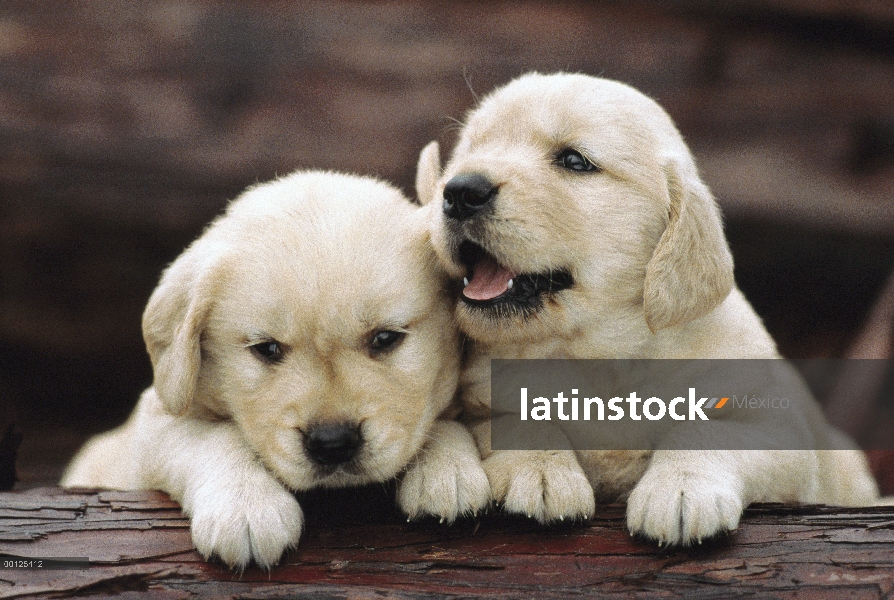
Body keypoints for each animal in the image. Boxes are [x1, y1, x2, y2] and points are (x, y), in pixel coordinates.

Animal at [62, 170, 490, 568]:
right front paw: (246, 506)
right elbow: (212, 437)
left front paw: (446, 469)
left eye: (385, 338)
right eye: (267, 349)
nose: (332, 444)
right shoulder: (154, 422)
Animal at [416, 72, 880, 548]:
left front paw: (681, 490)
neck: (596, 356)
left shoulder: (780, 427)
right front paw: (538, 471)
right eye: (467, 153)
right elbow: (509, 417)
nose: (460, 191)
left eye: (573, 160)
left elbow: (708, 429)